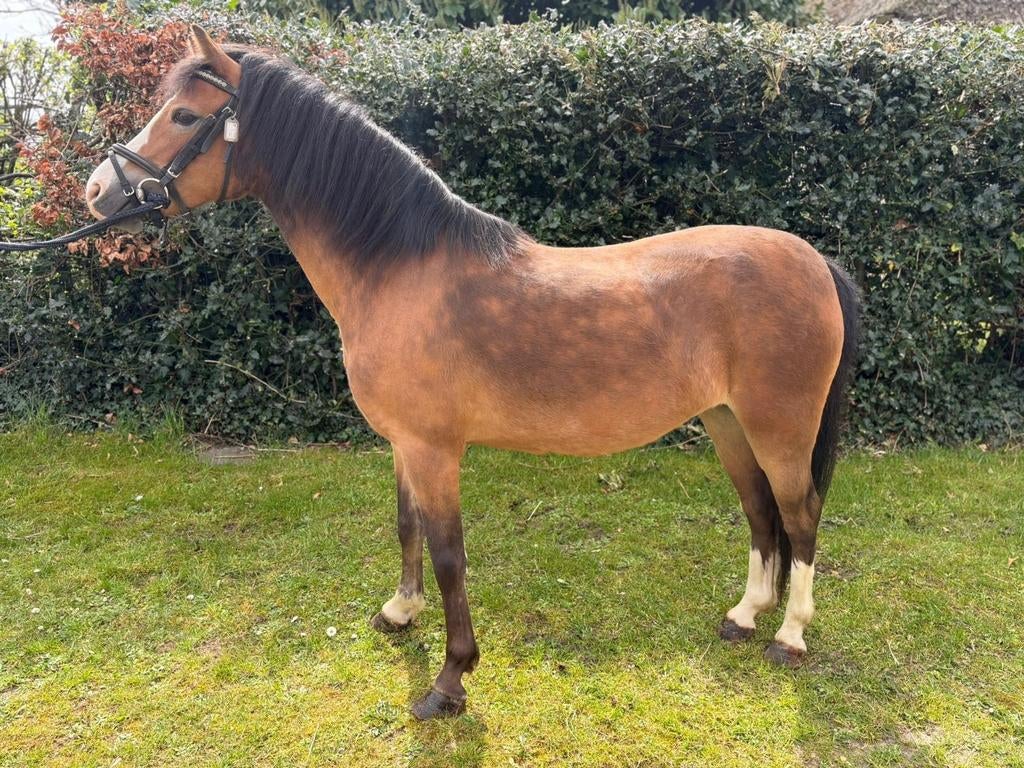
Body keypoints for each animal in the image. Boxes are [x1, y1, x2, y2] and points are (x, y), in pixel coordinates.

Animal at [85, 26, 860, 720]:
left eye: (185, 116)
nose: (96, 192)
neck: (398, 267)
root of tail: (816, 262)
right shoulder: (405, 443)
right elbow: (407, 528)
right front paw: (400, 612)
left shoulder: (435, 450)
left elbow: (450, 555)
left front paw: (450, 681)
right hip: (726, 421)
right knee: (761, 514)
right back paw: (745, 614)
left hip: (779, 427)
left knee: (800, 515)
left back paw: (790, 635)